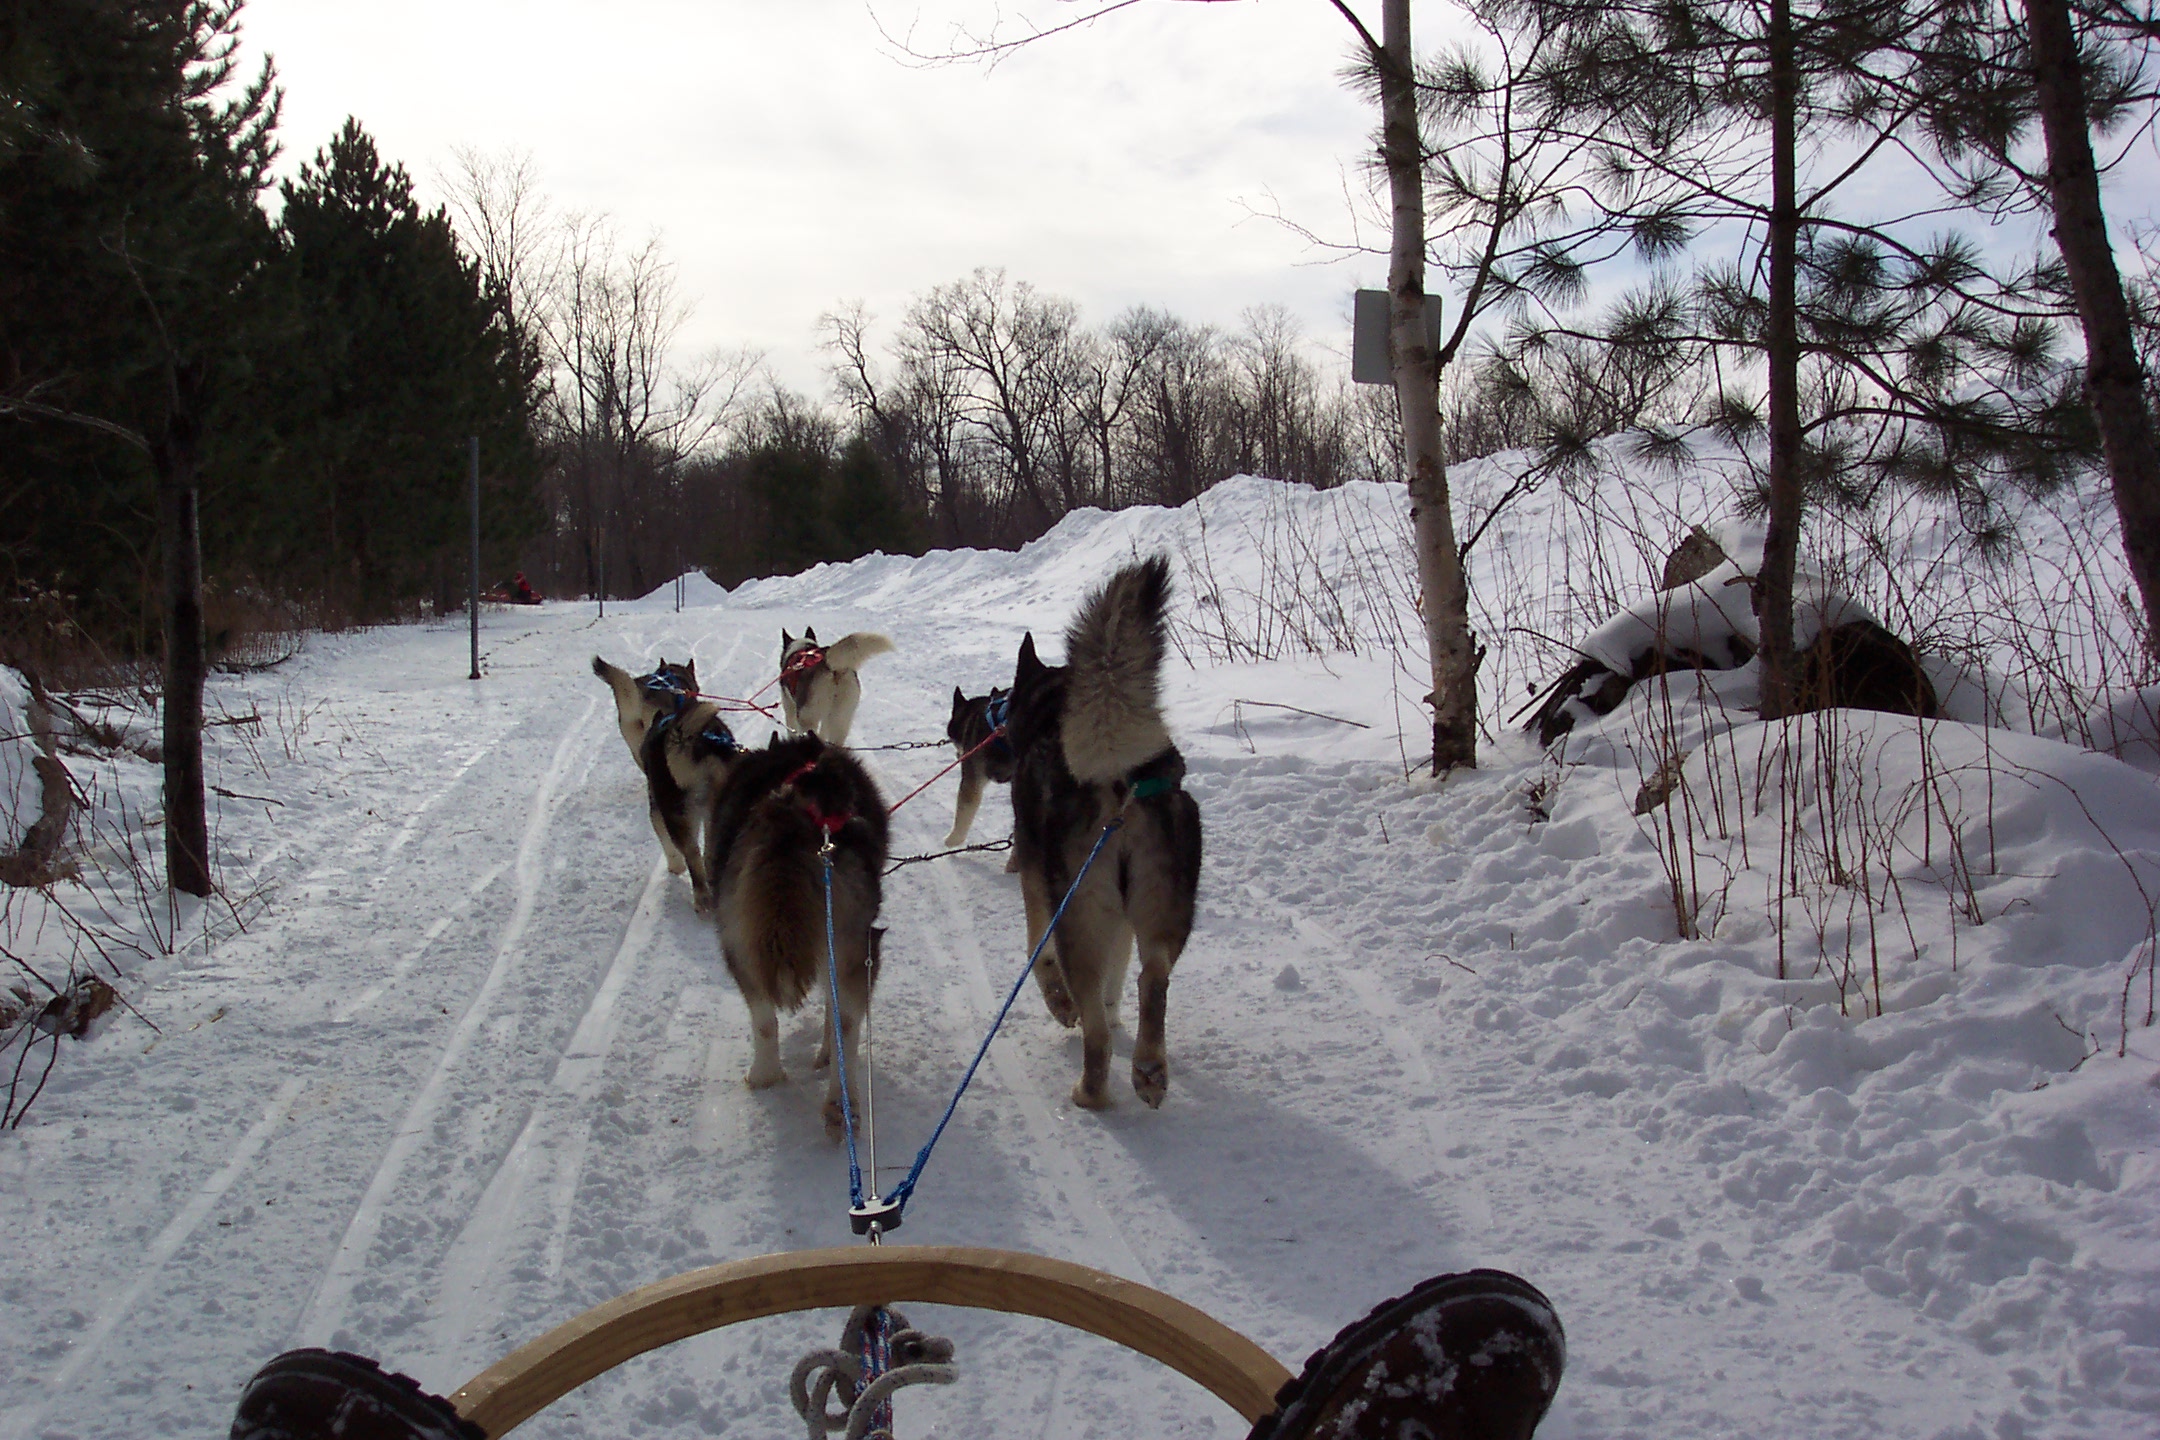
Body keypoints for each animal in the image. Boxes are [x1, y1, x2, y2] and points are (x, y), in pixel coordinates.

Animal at [630, 699, 743, 911]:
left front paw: (675, 867)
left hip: (677, 818)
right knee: (710, 855)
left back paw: (702, 899)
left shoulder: (657, 811)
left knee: (693, 858)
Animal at [712, 738, 889, 1131]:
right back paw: (839, 1102)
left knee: (767, 1017)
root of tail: (795, 822)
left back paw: (765, 1076)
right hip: (841, 945)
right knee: (842, 1023)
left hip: (740, 943)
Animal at [1006, 557, 1200, 1114]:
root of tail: (1120, 779)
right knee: (1153, 977)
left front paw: (1058, 1003)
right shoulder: (1123, 921)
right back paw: (1148, 1068)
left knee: (1095, 1031)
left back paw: (1091, 1091)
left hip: (1077, 915)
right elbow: (1120, 974)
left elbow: (1039, 955)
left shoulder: (1037, 885)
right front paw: (1120, 1018)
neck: (1050, 713)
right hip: (1165, 908)